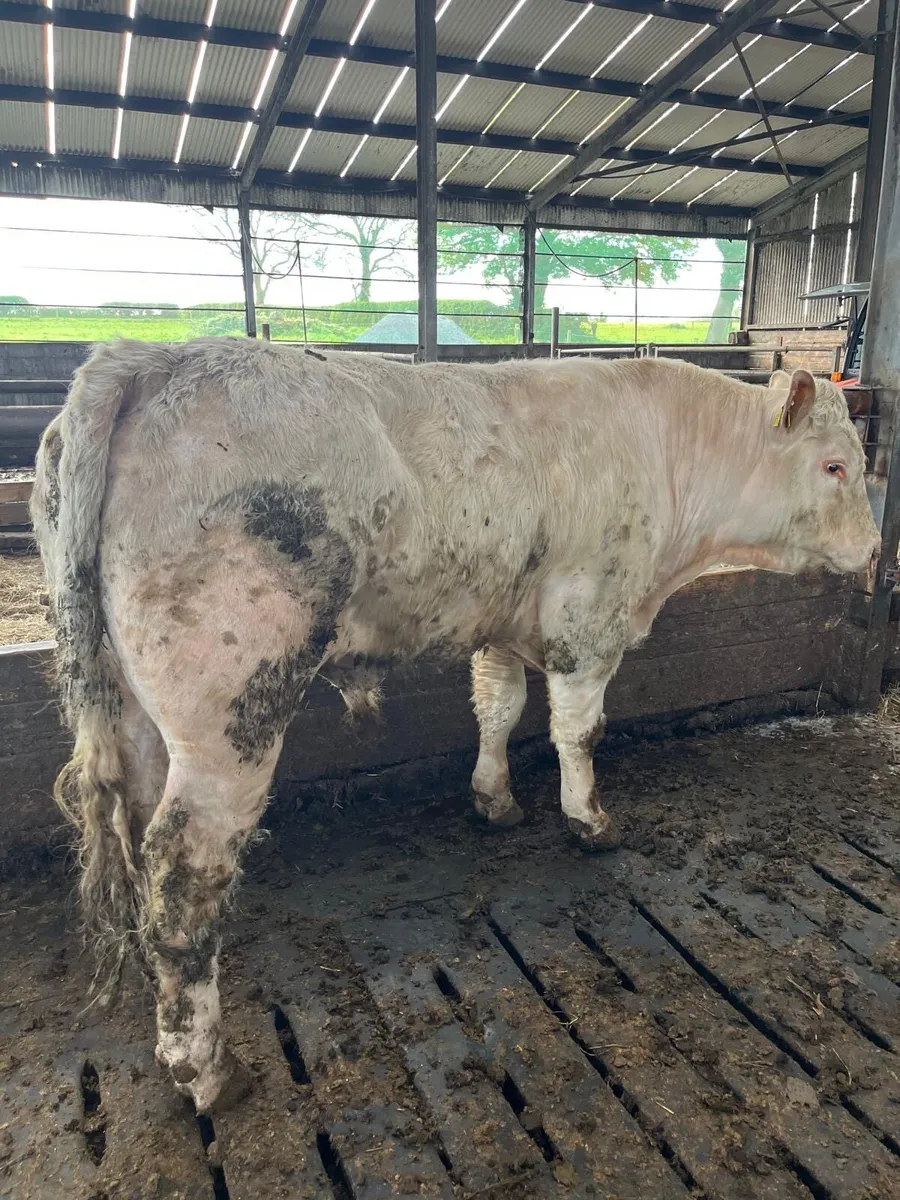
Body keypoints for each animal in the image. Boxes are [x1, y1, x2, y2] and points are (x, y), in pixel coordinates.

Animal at [31, 337, 879, 1113]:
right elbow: (580, 730)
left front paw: (494, 799)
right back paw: (207, 1068)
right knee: (183, 873)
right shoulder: (588, 617)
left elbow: (499, 708)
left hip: (134, 709)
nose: (875, 550)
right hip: (231, 711)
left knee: (142, 840)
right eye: (837, 467)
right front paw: (590, 820)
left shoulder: (503, 621)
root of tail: (148, 358)